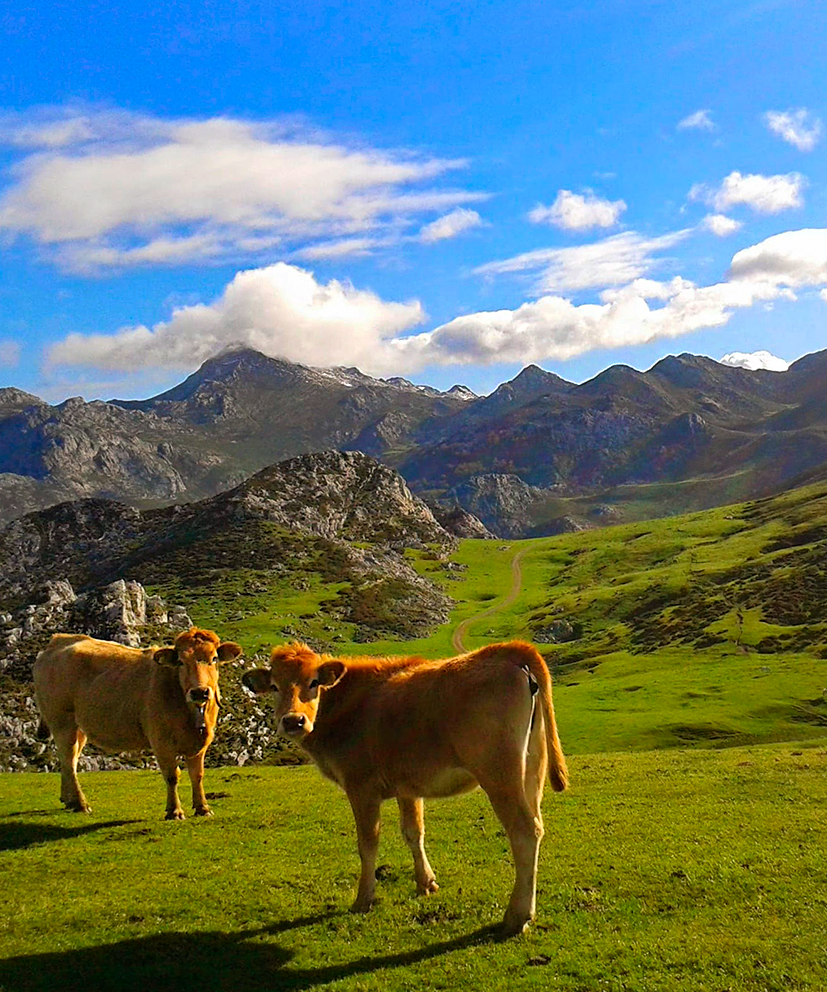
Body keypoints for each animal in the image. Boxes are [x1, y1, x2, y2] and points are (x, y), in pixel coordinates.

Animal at [33, 627, 242, 820]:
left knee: (71, 759)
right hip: (61, 721)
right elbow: (172, 776)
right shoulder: (161, 741)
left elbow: (197, 775)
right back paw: (80, 803)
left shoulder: (201, 742)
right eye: (181, 662)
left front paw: (203, 808)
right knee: (68, 759)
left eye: (214, 658)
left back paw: (68, 800)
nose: (200, 692)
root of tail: (59, 640)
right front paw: (174, 811)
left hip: (79, 727)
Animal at [242, 639, 568, 936]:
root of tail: (510, 649)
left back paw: (517, 915)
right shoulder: (407, 786)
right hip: (532, 767)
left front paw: (363, 899)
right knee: (537, 825)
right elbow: (413, 832)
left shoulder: (360, 787)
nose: (293, 721)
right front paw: (426, 883)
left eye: (314, 682)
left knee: (524, 831)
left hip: (498, 772)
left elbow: (367, 843)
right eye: (274, 686)